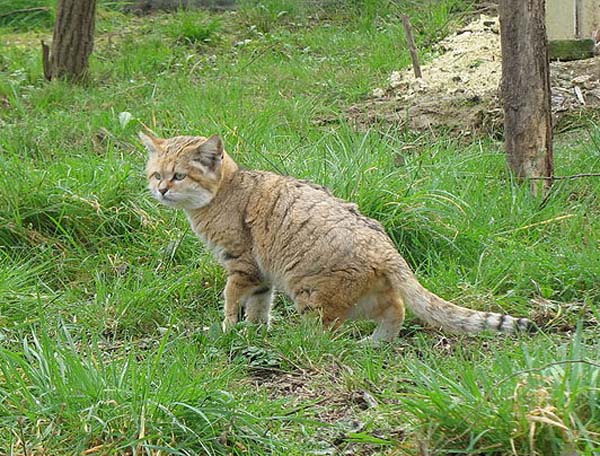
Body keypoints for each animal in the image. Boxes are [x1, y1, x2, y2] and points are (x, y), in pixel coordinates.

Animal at [142, 132, 536, 342]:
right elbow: (259, 307)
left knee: (327, 335)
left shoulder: (241, 265)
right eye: (156, 174)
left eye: (179, 176)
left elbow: (230, 301)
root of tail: (385, 247)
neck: (225, 191)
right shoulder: (261, 275)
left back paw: (302, 344)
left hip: (310, 292)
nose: (161, 190)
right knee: (397, 308)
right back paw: (375, 344)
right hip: (363, 294)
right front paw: (255, 331)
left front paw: (227, 329)